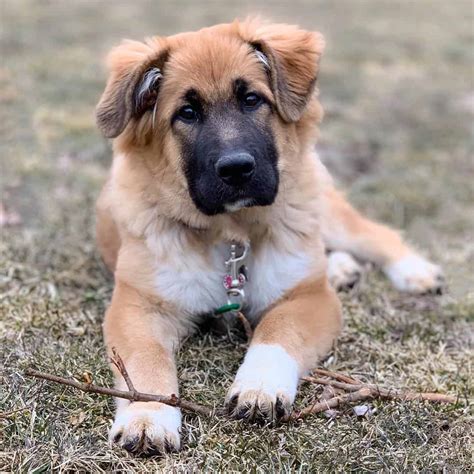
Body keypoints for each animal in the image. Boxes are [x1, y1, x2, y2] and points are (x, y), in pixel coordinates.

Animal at [94, 18, 442, 456]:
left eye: (252, 100)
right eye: (186, 113)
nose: (236, 168)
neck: (230, 233)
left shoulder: (308, 298)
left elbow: (278, 333)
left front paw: (259, 388)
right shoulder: (138, 306)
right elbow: (145, 361)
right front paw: (147, 417)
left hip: (324, 211)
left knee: (374, 235)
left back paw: (414, 272)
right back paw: (342, 269)